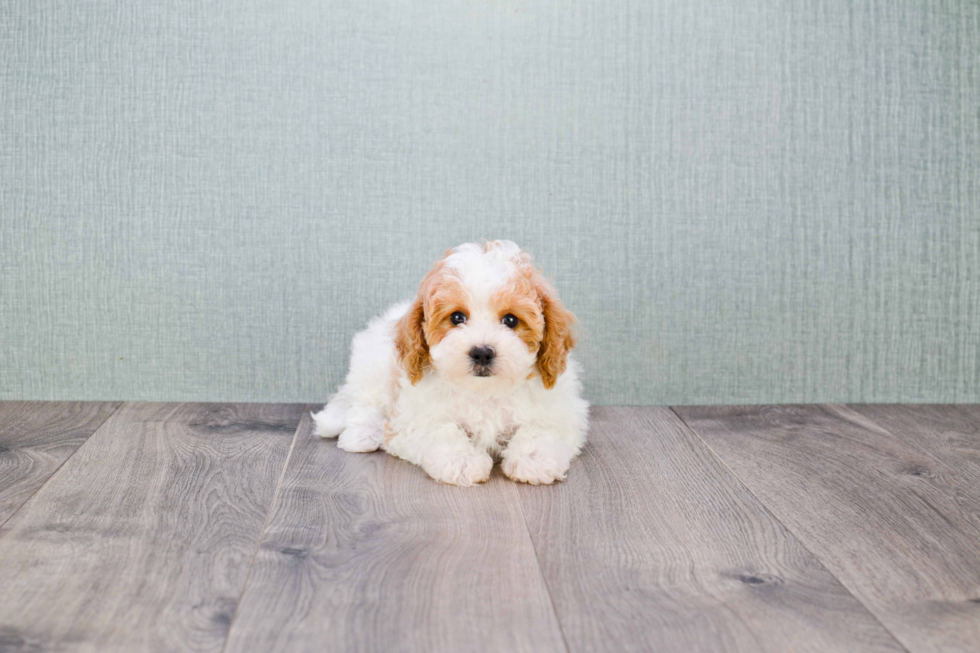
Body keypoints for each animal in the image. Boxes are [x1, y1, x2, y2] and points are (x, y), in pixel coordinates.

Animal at [314, 239, 588, 484]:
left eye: (511, 320)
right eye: (457, 317)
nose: (482, 352)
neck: (485, 392)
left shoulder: (561, 411)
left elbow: (543, 429)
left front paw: (534, 458)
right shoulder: (412, 420)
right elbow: (442, 431)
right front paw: (462, 461)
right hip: (374, 366)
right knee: (365, 404)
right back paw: (362, 435)